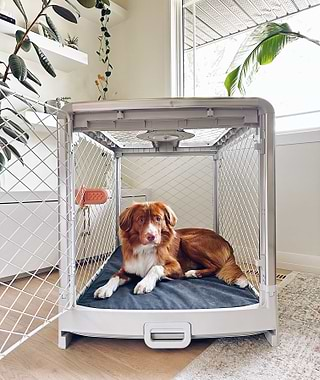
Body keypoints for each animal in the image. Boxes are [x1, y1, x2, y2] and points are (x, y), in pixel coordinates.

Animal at [94, 202, 249, 300]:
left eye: (158, 218)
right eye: (141, 219)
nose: (151, 236)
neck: (145, 250)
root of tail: (227, 242)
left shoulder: (176, 266)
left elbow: (155, 268)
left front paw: (144, 283)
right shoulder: (128, 269)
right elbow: (114, 276)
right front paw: (104, 288)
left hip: (188, 241)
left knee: (216, 267)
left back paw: (193, 273)